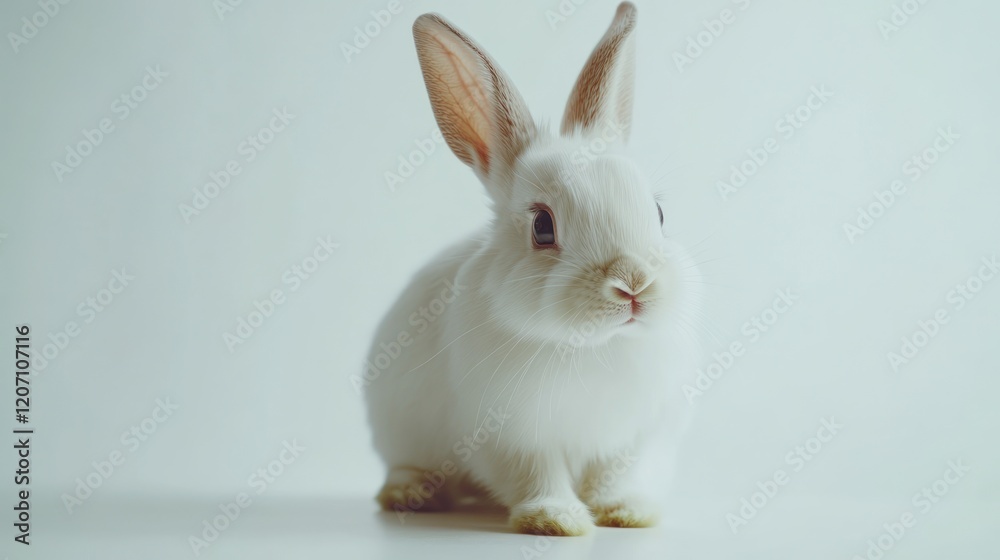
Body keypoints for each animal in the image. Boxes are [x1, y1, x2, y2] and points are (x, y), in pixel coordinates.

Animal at [362, 2, 704, 536]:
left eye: (659, 212)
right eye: (543, 227)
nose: (633, 285)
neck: (593, 347)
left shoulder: (634, 437)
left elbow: (616, 476)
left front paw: (627, 513)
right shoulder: (510, 436)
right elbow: (536, 476)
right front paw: (556, 520)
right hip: (401, 434)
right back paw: (412, 494)